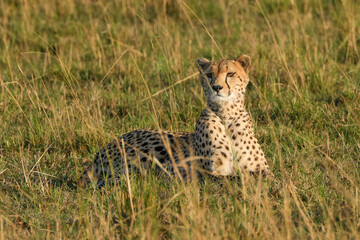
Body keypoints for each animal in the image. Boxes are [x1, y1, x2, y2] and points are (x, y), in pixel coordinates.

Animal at [83, 55, 270, 187]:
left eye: (230, 74)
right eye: (209, 75)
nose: (216, 87)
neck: (226, 116)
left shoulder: (263, 169)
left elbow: (264, 176)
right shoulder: (207, 171)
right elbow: (232, 178)